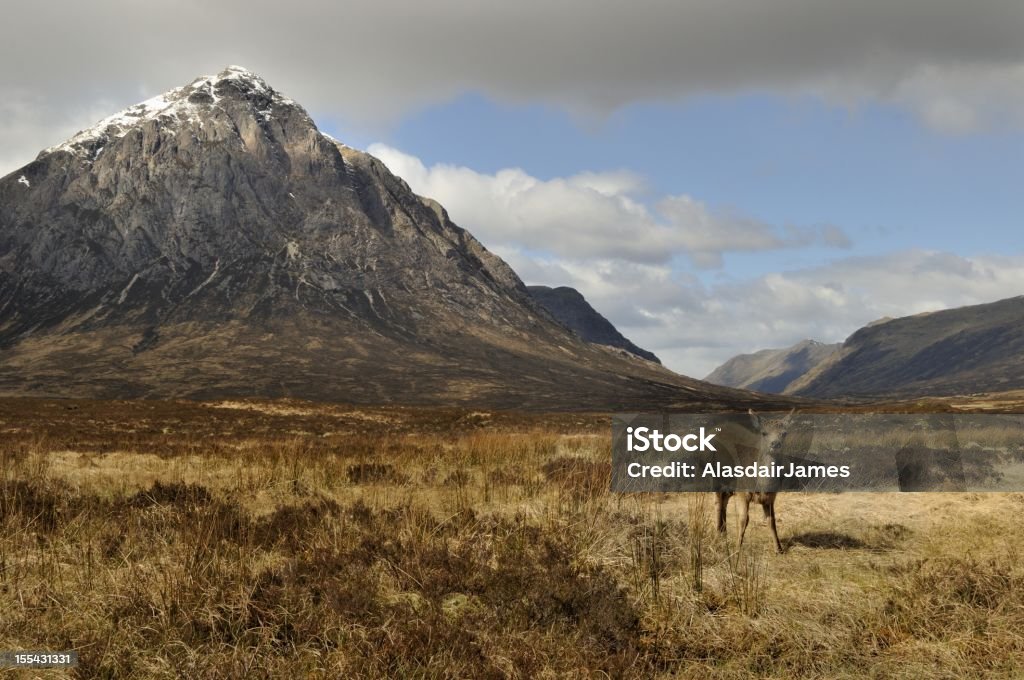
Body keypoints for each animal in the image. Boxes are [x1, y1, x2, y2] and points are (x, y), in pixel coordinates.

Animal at [716, 409, 794, 553]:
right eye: (764, 433)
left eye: (784, 433)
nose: (775, 444)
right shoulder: (742, 492)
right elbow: (743, 519)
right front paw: (737, 549)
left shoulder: (771, 497)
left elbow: (771, 520)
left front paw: (779, 549)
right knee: (718, 504)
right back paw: (718, 534)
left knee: (724, 503)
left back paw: (724, 533)